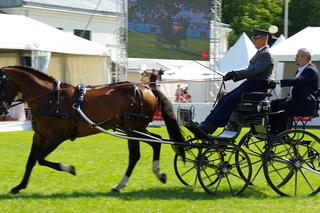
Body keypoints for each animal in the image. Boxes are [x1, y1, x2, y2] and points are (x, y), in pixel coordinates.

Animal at [0, 66, 185, 195]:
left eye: (0, 83)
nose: (3, 110)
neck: (50, 98)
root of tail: (146, 88)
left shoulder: (56, 137)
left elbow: (40, 159)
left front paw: (70, 168)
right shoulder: (39, 136)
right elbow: (31, 161)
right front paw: (19, 186)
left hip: (133, 130)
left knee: (137, 154)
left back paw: (122, 184)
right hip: (135, 129)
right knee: (156, 142)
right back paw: (156, 175)